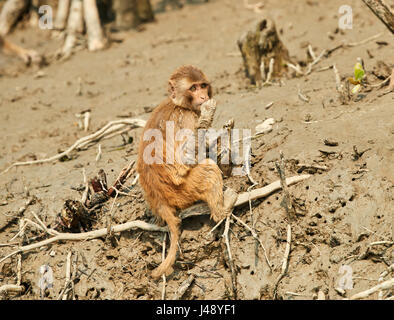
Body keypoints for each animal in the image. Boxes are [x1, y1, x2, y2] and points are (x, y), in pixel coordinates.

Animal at [139, 64, 237, 278]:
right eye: (193, 88)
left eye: (203, 85)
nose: (203, 96)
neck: (179, 104)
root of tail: (159, 199)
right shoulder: (187, 119)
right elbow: (186, 157)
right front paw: (208, 112)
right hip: (184, 190)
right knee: (208, 169)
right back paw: (222, 210)